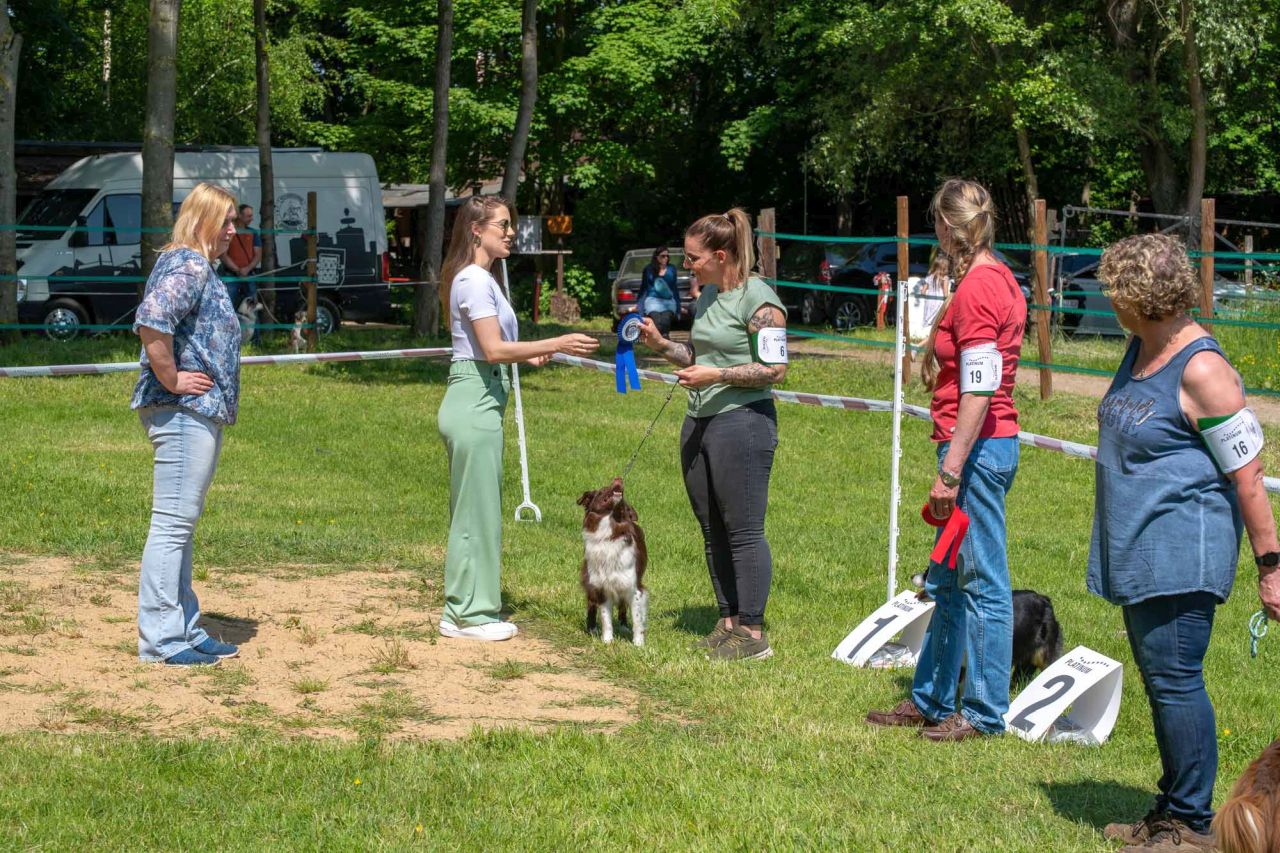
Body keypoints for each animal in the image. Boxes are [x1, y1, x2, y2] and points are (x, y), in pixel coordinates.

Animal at [576, 479, 645, 645]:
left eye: (624, 505)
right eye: (602, 490)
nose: (618, 479)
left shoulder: (634, 588)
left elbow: (637, 619)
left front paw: (638, 644)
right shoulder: (601, 587)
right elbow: (605, 617)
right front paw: (607, 641)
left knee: (623, 606)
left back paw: (623, 626)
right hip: (591, 580)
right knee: (591, 604)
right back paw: (592, 628)